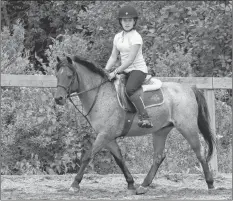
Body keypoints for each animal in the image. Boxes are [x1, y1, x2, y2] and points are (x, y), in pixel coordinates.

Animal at [54, 55, 215, 194]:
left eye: (69, 76)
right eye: (57, 76)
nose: (58, 99)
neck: (100, 94)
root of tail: (189, 88)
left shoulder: (105, 135)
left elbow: (87, 156)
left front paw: (75, 184)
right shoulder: (108, 137)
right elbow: (119, 159)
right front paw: (131, 183)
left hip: (187, 128)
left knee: (200, 152)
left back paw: (210, 184)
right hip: (161, 131)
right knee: (158, 156)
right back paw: (143, 185)